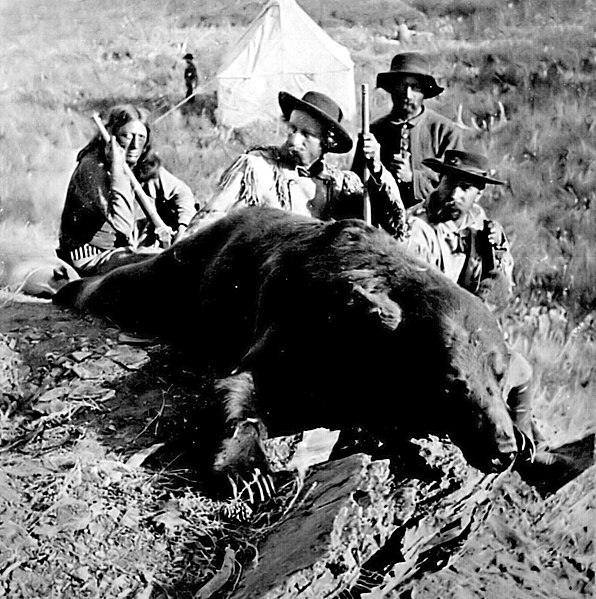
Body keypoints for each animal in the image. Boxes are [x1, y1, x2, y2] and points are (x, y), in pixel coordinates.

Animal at [54, 209, 520, 480]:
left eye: (500, 380)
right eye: (451, 384)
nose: (505, 449)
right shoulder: (297, 315)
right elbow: (239, 385)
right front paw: (246, 466)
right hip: (179, 276)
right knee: (126, 283)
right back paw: (70, 286)